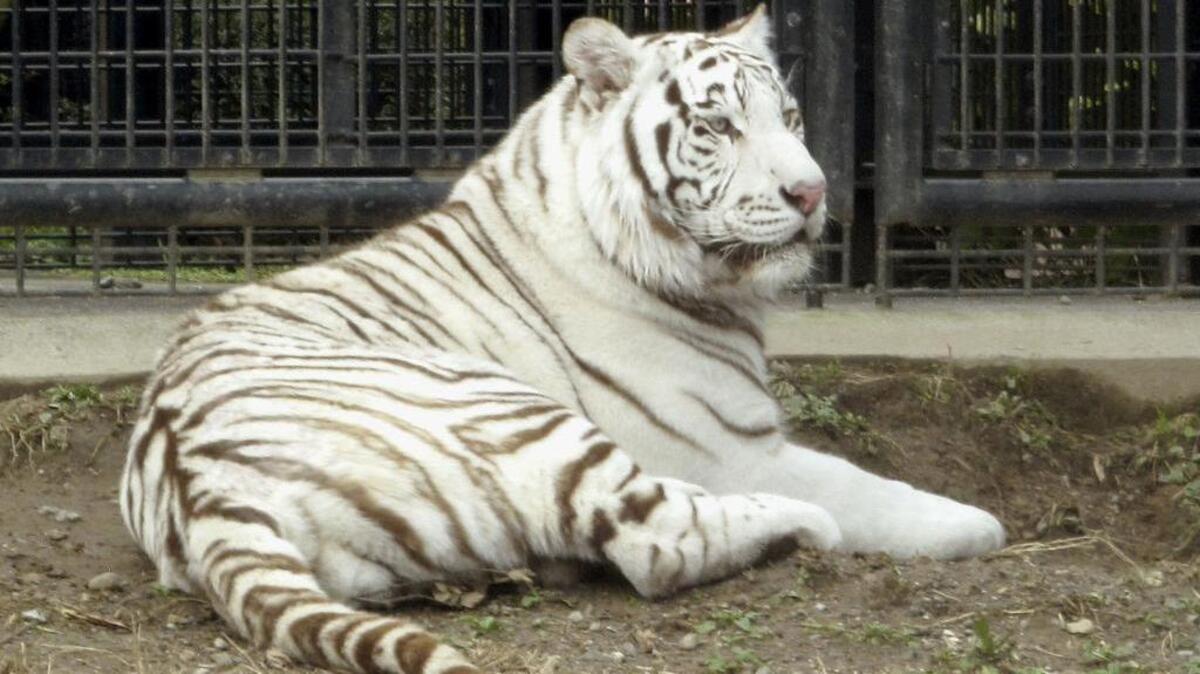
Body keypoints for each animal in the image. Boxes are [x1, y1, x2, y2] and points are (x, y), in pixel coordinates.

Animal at [119, 7, 1005, 673]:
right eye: (718, 124)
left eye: (787, 117)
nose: (814, 191)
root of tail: (199, 485)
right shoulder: (730, 449)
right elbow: (866, 488)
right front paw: (977, 524)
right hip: (520, 415)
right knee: (660, 542)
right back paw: (798, 527)